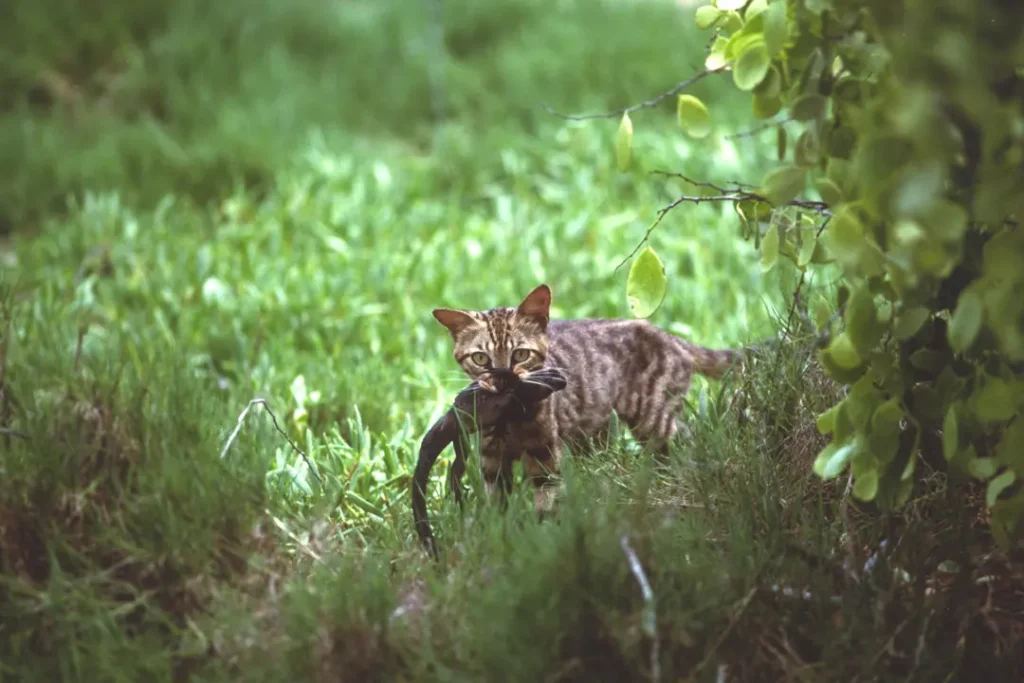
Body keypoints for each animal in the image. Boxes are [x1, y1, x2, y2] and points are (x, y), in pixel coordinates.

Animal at [428, 282, 741, 511]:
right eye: (481, 359)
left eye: (520, 354)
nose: (503, 379)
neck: (512, 419)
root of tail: (673, 339)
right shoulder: (492, 459)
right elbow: (496, 508)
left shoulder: (545, 455)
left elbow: (545, 503)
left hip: (653, 418)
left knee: (688, 440)